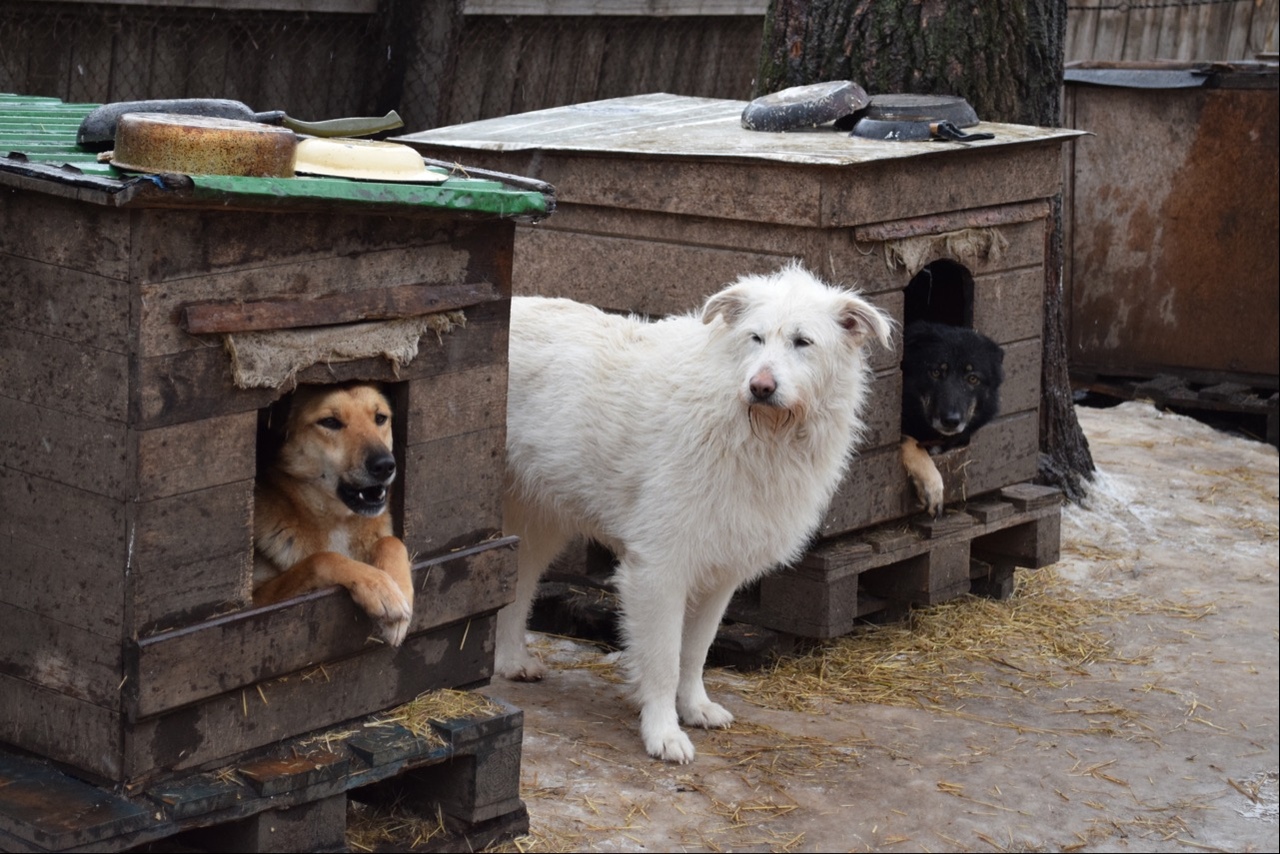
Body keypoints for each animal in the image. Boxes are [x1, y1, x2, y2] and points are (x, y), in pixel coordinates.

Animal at [248, 384, 409, 645]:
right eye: (330, 422)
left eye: (380, 418)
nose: (385, 465)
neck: (339, 521)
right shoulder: (257, 601)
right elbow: (322, 558)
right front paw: (379, 587)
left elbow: (391, 541)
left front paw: (400, 588)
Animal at [496, 263, 890, 763]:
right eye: (755, 338)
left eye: (803, 342)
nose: (761, 388)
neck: (747, 427)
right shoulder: (658, 570)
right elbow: (664, 659)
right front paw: (663, 732)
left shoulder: (720, 574)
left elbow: (695, 652)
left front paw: (695, 708)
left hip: (533, 524)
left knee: (517, 588)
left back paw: (511, 661)